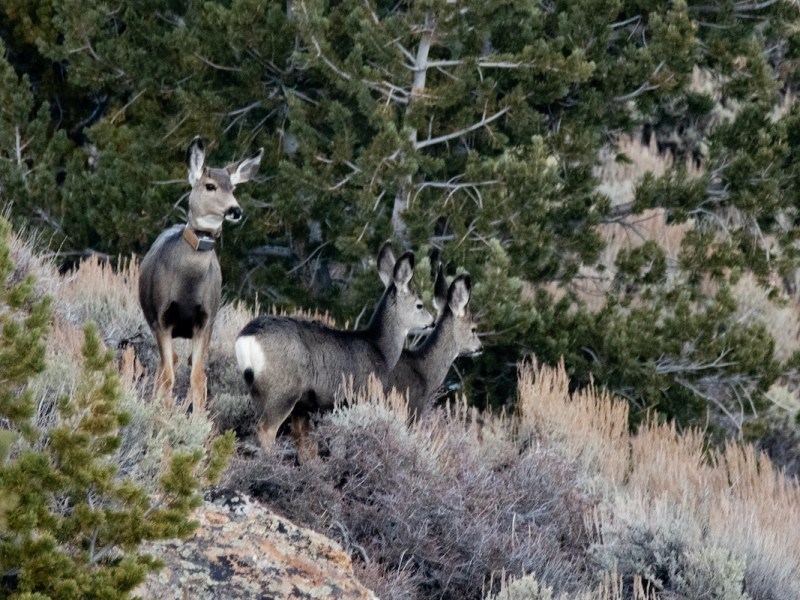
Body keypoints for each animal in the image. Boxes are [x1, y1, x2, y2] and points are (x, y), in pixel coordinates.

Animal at [139, 136, 263, 412]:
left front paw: (197, 417)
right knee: (167, 365)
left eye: (233, 188)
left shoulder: (206, 321)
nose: (235, 210)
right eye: (210, 186)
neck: (187, 286)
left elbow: (198, 377)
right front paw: (163, 413)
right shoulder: (162, 319)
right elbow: (168, 374)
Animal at [235, 242, 435, 452]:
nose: (432, 322)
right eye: (420, 305)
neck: (380, 349)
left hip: (258, 391)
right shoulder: (360, 395)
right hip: (284, 390)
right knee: (266, 429)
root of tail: (248, 337)